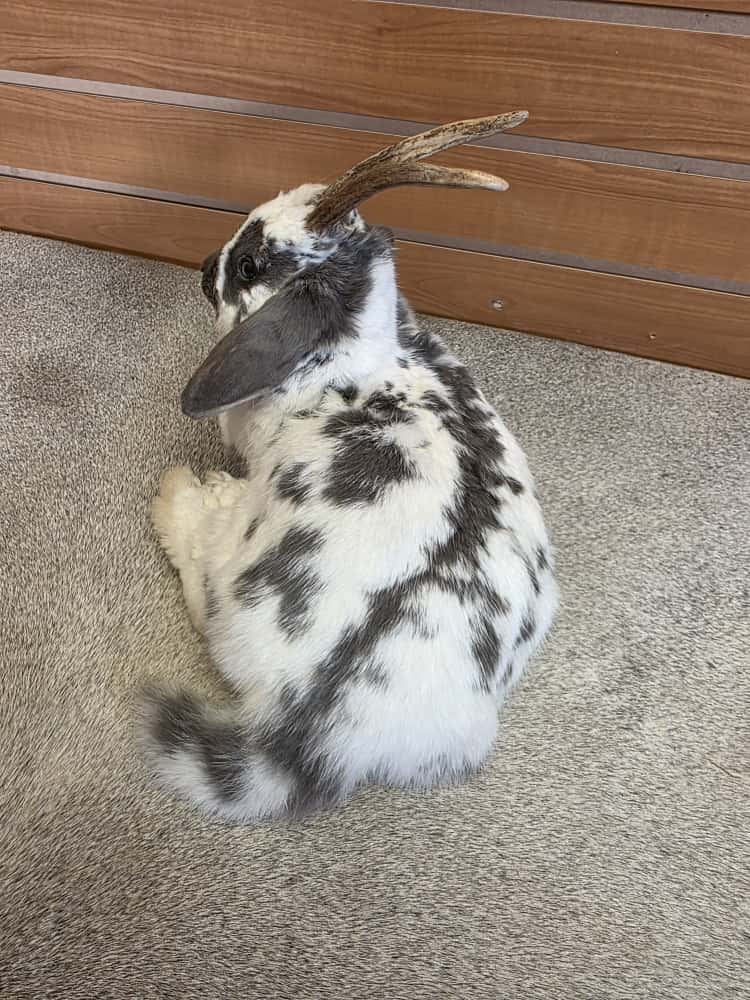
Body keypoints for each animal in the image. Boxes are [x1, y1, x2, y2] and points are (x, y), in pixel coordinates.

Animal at [143, 111, 558, 822]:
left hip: (231, 570)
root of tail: (314, 731)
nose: (202, 266)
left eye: (250, 263)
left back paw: (177, 495)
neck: (351, 365)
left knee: (202, 585)